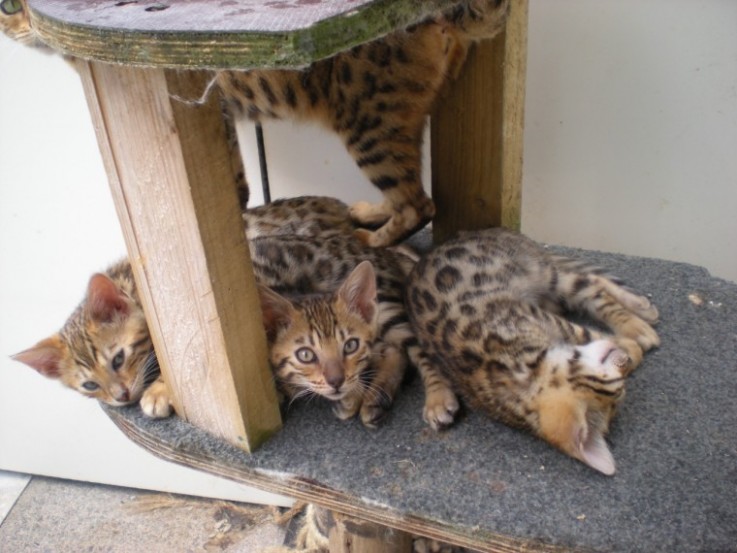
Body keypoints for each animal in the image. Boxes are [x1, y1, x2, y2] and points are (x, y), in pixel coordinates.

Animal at [406, 229, 660, 474]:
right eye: (612, 384)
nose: (622, 360)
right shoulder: (531, 316)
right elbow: (585, 333)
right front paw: (631, 349)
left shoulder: (525, 312)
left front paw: (630, 345)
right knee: (587, 286)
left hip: (543, 273)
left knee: (590, 284)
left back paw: (638, 312)